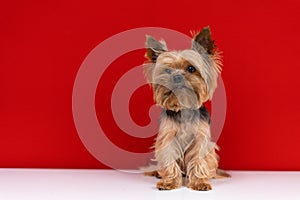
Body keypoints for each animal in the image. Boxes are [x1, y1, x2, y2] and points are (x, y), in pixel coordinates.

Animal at [143, 26, 230, 191]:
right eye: (168, 71)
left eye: (191, 68)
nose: (177, 77)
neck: (183, 106)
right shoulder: (168, 137)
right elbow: (169, 158)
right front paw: (168, 182)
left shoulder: (200, 139)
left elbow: (198, 160)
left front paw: (200, 182)